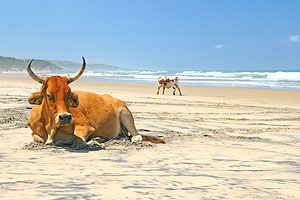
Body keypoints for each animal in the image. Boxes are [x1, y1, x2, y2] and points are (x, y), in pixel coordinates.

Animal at [27, 56, 165, 148]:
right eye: (49, 95)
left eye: (68, 94)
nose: (65, 117)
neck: (50, 125)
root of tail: (116, 100)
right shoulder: (35, 133)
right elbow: (39, 139)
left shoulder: (85, 127)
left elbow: (77, 140)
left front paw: (93, 140)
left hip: (126, 114)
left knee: (136, 136)